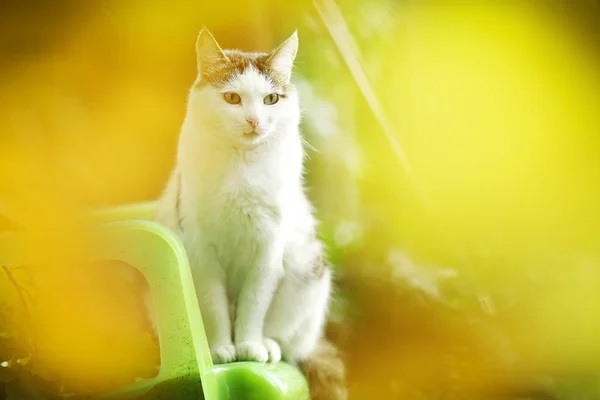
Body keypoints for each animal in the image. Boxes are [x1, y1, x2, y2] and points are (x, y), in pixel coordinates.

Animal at [154, 28, 346, 400]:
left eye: (271, 99)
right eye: (232, 98)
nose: (254, 120)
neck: (241, 166)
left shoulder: (268, 250)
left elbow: (254, 304)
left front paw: (248, 346)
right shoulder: (202, 252)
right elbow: (215, 306)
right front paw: (220, 350)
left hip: (307, 271)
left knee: (287, 341)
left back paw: (268, 346)